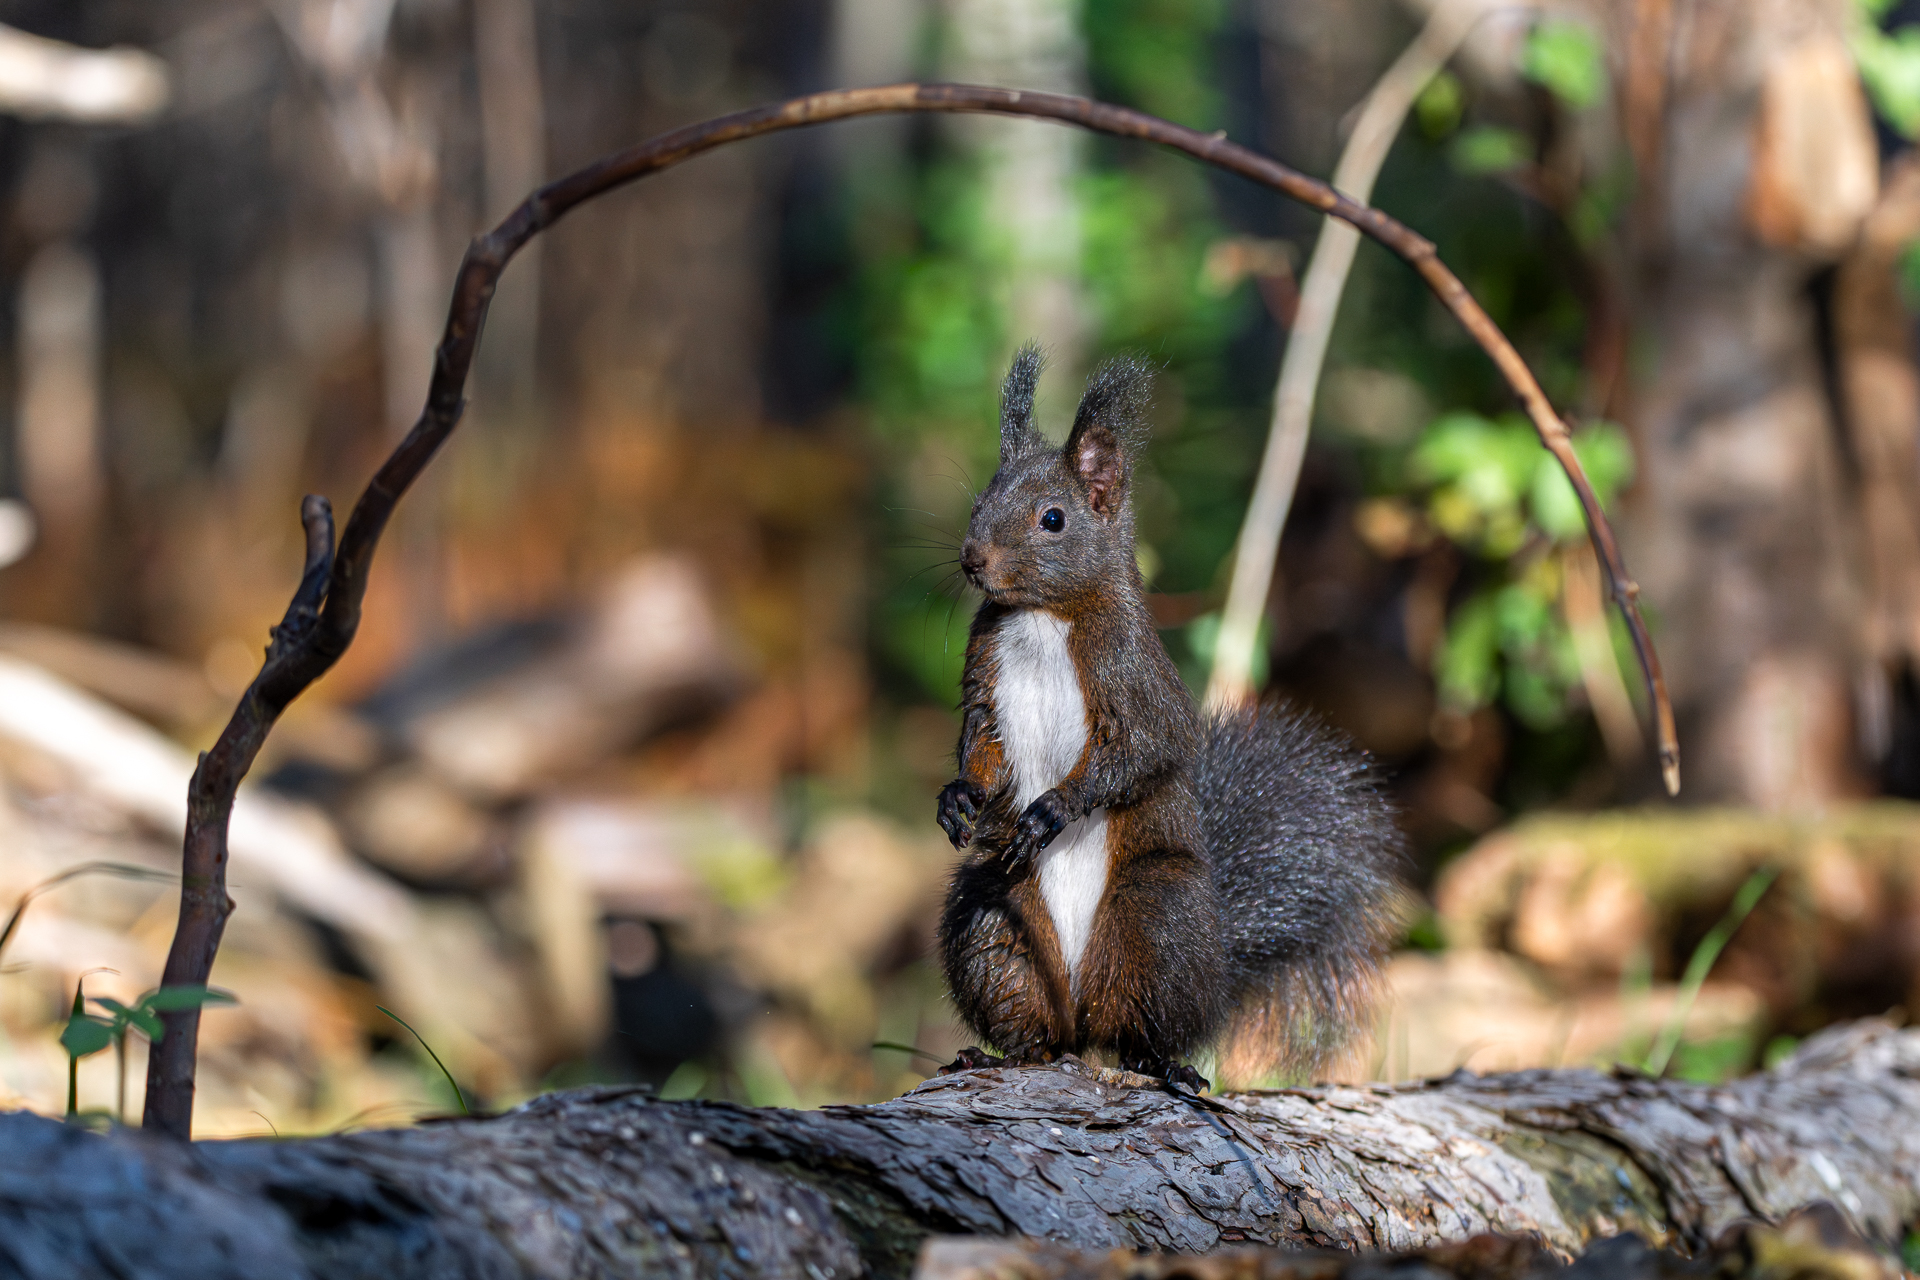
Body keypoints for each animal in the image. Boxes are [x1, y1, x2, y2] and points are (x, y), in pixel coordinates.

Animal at [934, 344, 1405, 1089]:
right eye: (982, 497)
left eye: (1053, 519)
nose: (972, 559)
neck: (1042, 614)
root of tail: (1083, 1013)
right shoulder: (986, 679)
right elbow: (984, 742)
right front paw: (960, 796)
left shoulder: (1136, 677)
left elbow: (1144, 750)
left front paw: (1054, 809)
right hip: (994, 921)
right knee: (1033, 1016)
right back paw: (1007, 1050)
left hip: (1157, 925)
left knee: (1148, 1026)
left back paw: (1164, 1064)